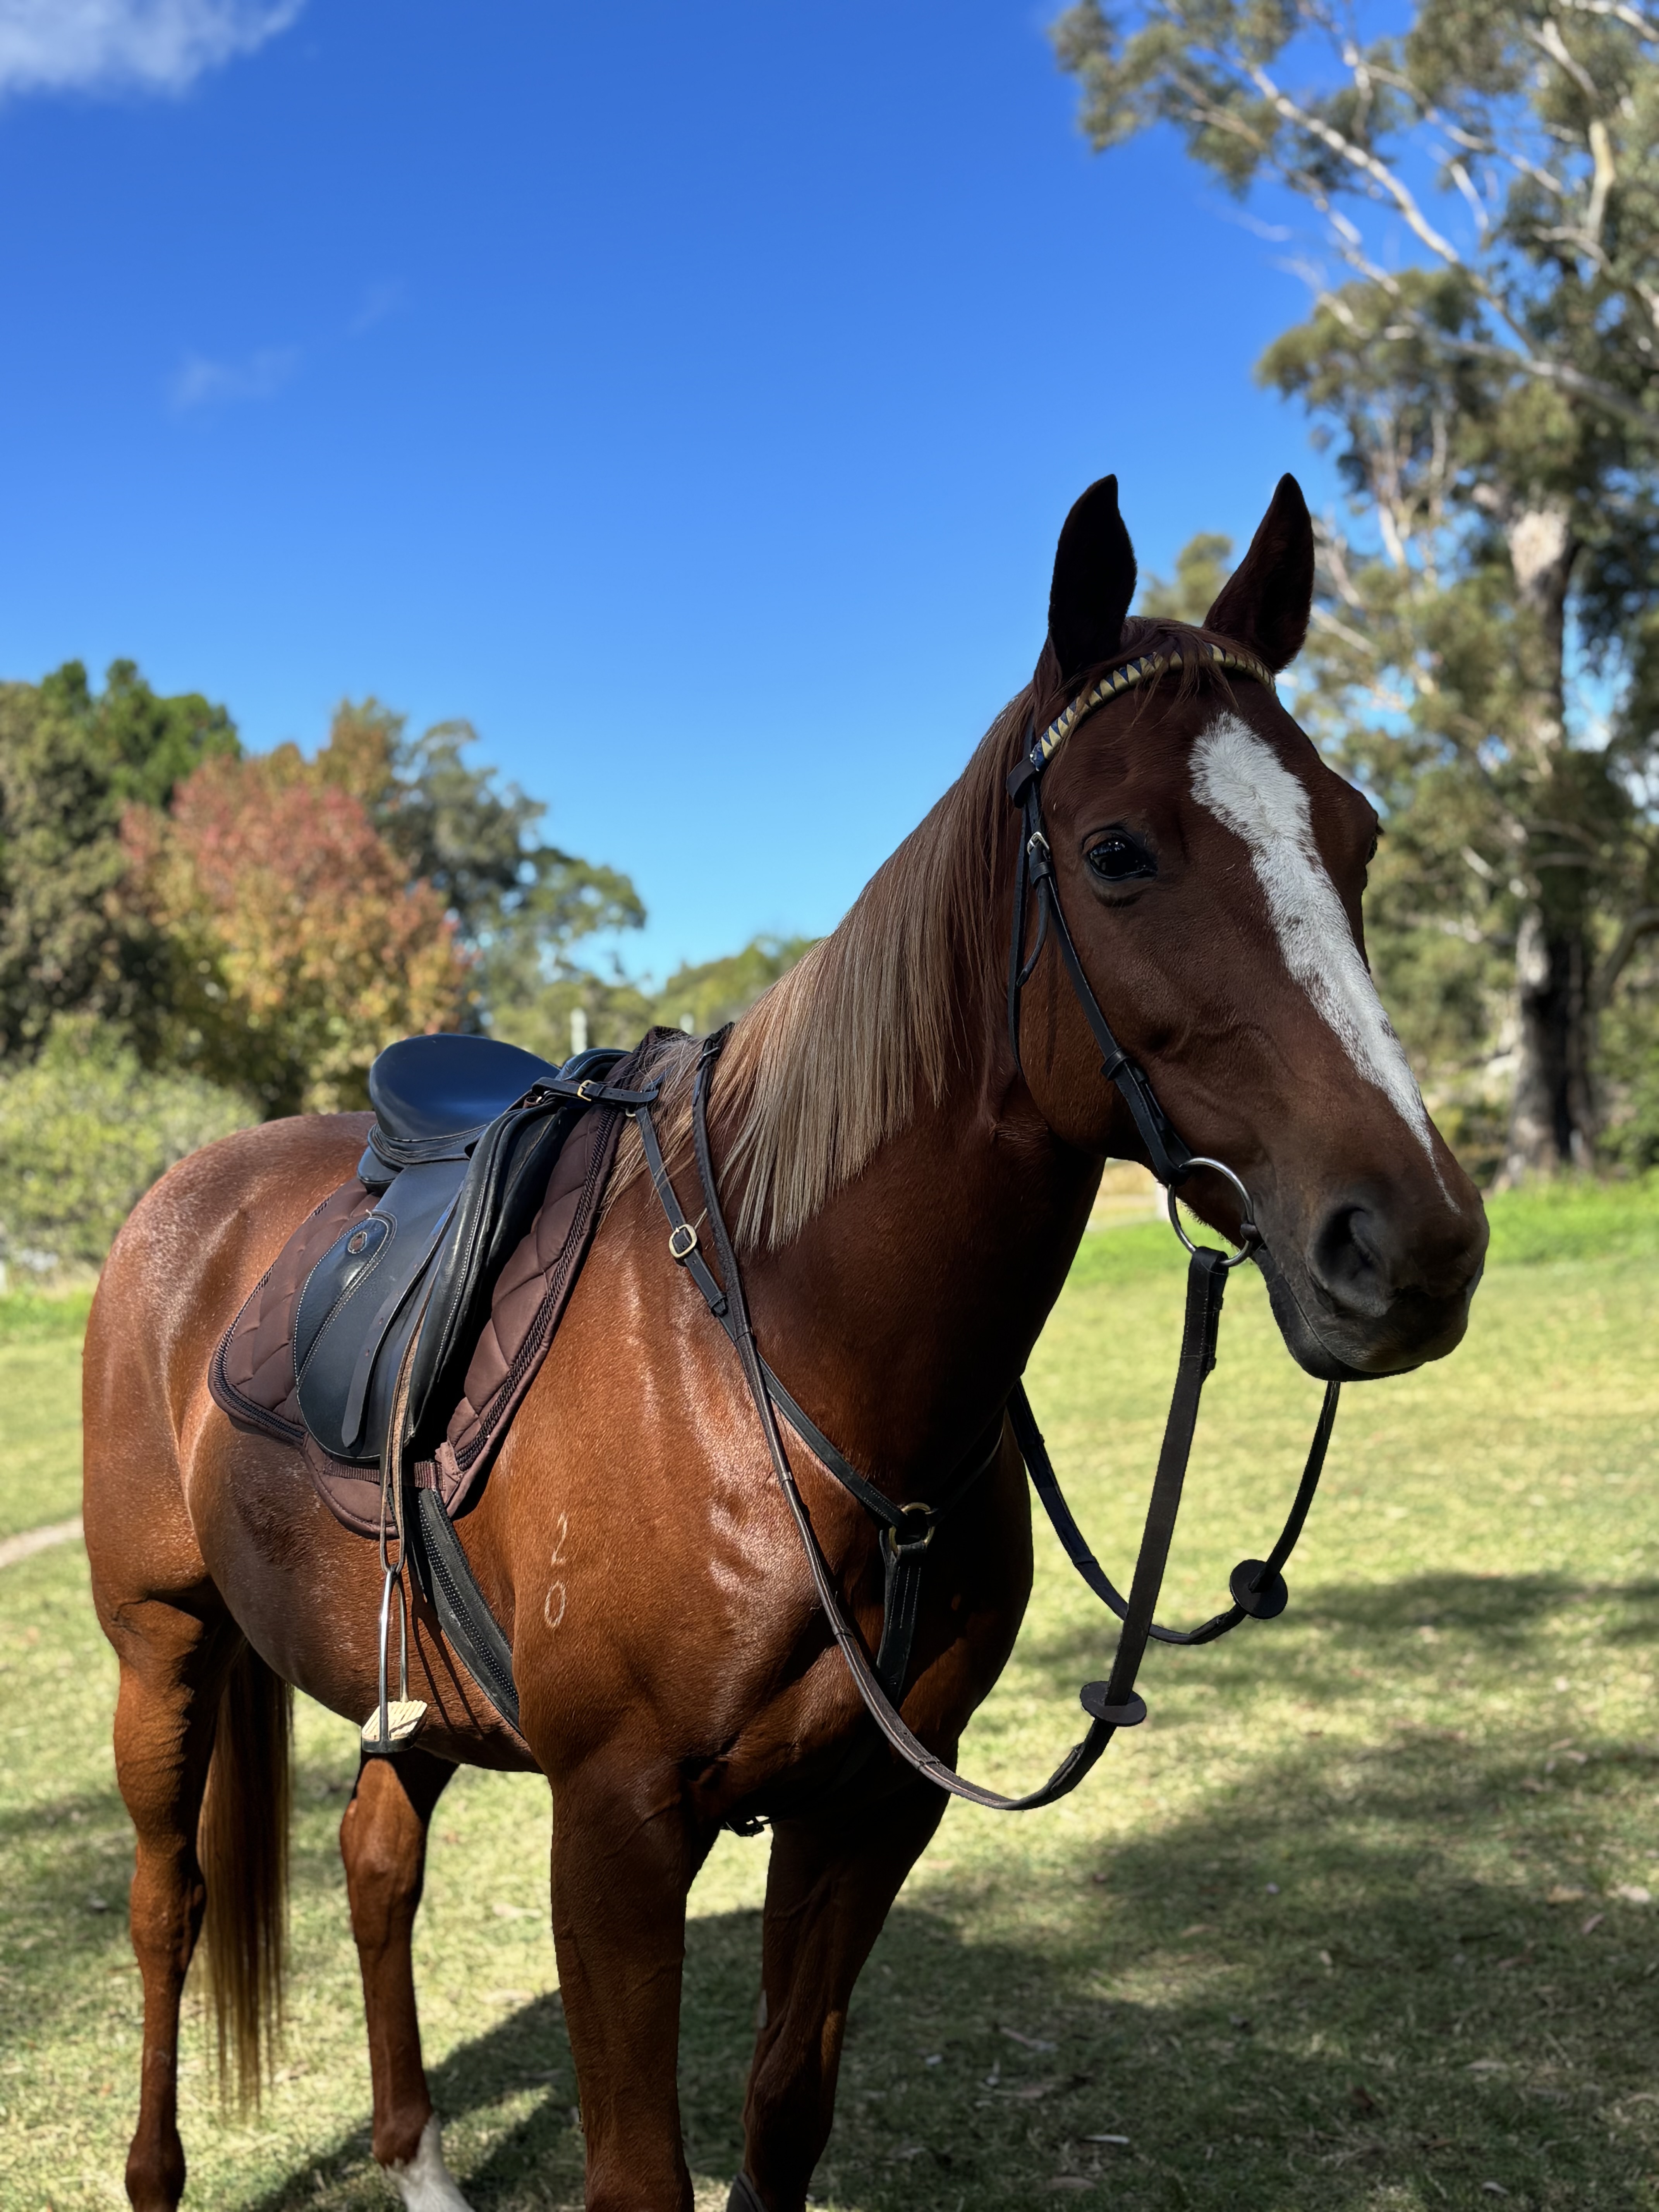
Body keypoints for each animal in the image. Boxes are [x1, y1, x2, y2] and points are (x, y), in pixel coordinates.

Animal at [84, 470, 1488, 2212]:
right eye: (1116, 851)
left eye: (1355, 834)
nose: (1414, 1243)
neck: (794, 1357)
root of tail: (180, 1196)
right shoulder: (616, 1831)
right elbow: (641, 2170)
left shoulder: (868, 1816)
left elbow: (781, 2120)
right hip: (161, 1643)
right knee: (166, 1905)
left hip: (404, 1684)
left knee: (374, 1861)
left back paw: (418, 2163)